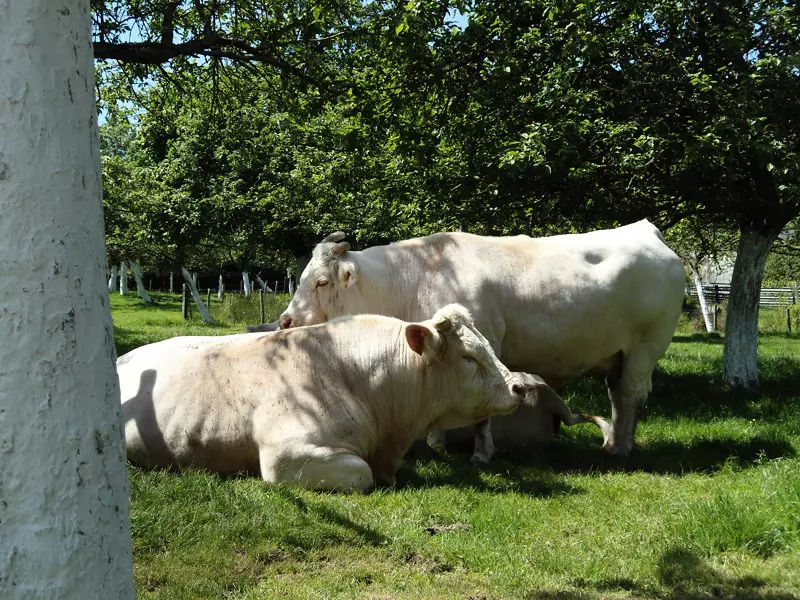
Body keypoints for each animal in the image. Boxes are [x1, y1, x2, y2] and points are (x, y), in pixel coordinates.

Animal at [277, 220, 686, 460]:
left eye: (321, 282)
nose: (285, 320)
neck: (415, 279)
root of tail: (646, 231)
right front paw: (437, 442)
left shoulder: (486, 344)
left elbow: (484, 411)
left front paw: (481, 453)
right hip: (621, 355)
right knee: (619, 395)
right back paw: (616, 442)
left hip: (644, 349)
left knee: (628, 397)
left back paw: (619, 450)